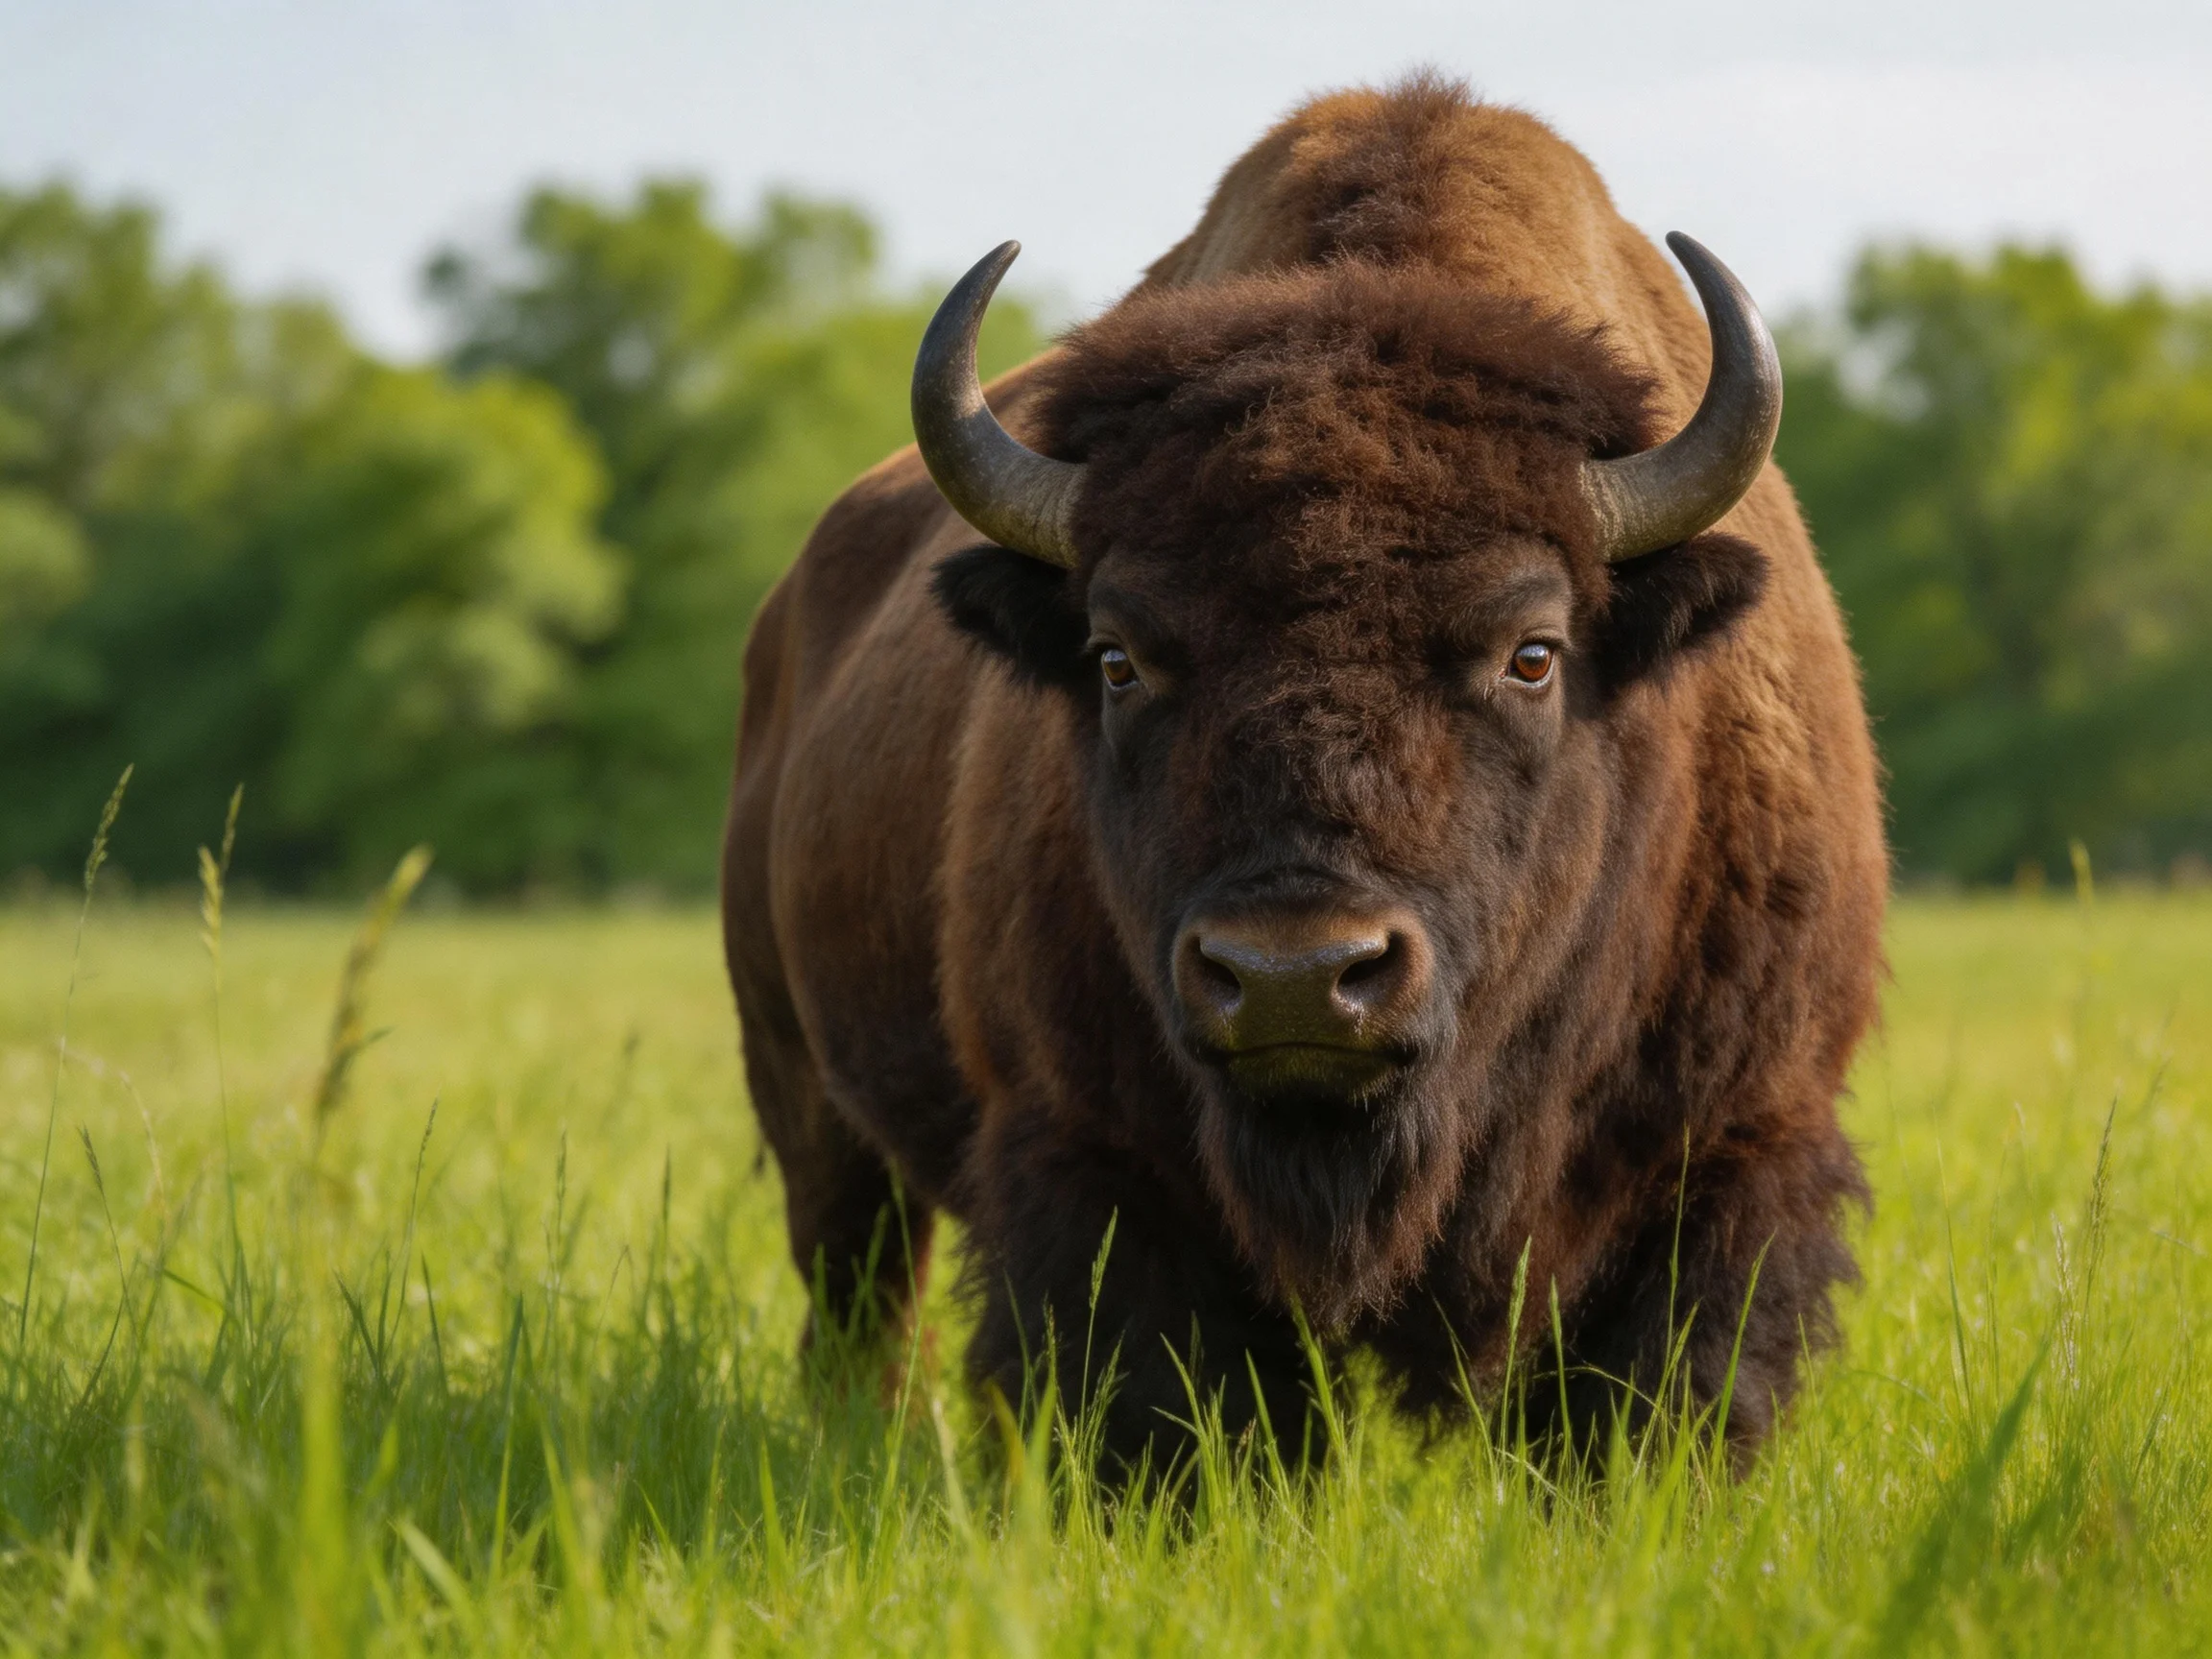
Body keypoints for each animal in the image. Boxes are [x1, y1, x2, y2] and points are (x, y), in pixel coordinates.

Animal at [722, 75, 1885, 1466]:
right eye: (1116, 657)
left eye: (1533, 653)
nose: (1293, 977)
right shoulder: (1091, 1165)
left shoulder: (1738, 1148)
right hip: (809, 1103)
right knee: (855, 1302)